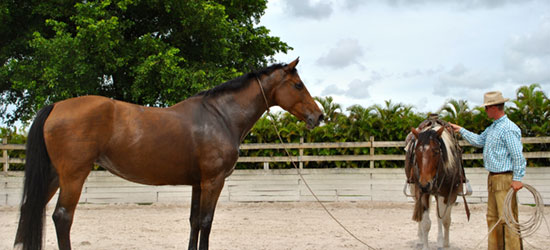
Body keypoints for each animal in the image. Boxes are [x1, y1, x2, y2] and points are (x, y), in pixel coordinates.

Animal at [14, 58, 324, 250]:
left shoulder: (199, 184)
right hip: (73, 176)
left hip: (55, 176)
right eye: (298, 85)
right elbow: (206, 223)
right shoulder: (213, 181)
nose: (318, 116)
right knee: (62, 217)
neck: (220, 116)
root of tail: (56, 106)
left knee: (32, 207)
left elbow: (194, 221)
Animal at [404, 117, 468, 250]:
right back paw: (420, 240)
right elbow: (425, 222)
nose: (425, 184)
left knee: (439, 218)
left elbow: (445, 220)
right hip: (415, 189)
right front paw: (425, 246)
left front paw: (445, 244)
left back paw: (440, 241)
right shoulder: (421, 192)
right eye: (416, 152)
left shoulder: (450, 194)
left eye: (436, 151)